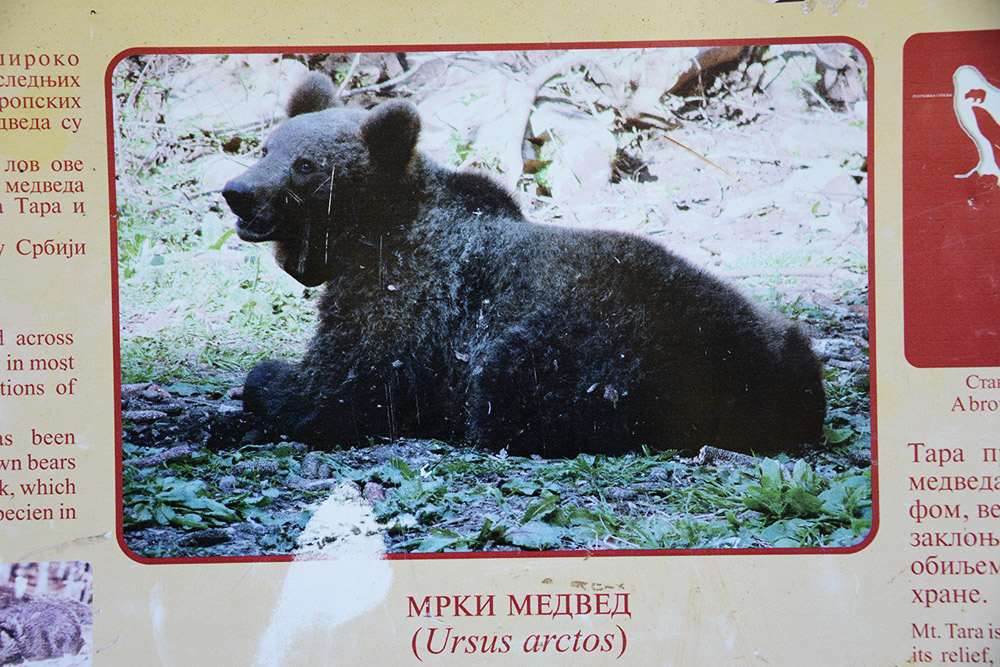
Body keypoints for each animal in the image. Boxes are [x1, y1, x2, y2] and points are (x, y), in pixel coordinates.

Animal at [222, 71, 826, 458]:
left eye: (304, 165)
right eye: (267, 147)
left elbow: (346, 387)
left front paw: (263, 386)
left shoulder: (407, 300)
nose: (236, 193)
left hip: (603, 348)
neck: (364, 237)